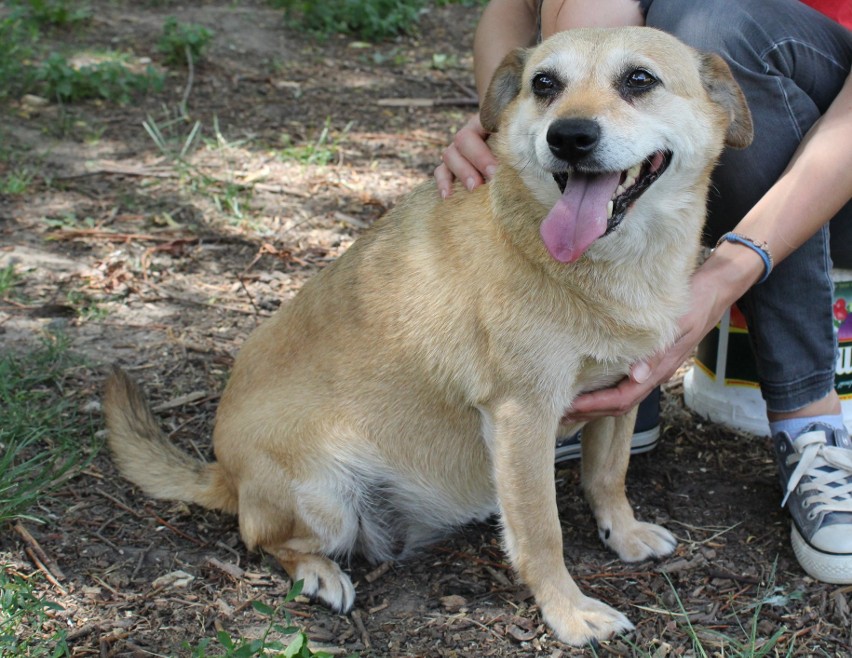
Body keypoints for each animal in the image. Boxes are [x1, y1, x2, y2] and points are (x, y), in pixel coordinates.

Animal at [106, 26, 752, 644]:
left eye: (639, 79)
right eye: (544, 84)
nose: (568, 137)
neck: (606, 263)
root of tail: (225, 473)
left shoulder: (622, 391)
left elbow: (607, 475)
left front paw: (623, 532)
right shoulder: (523, 416)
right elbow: (541, 533)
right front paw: (569, 613)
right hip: (326, 497)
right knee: (263, 539)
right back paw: (319, 574)